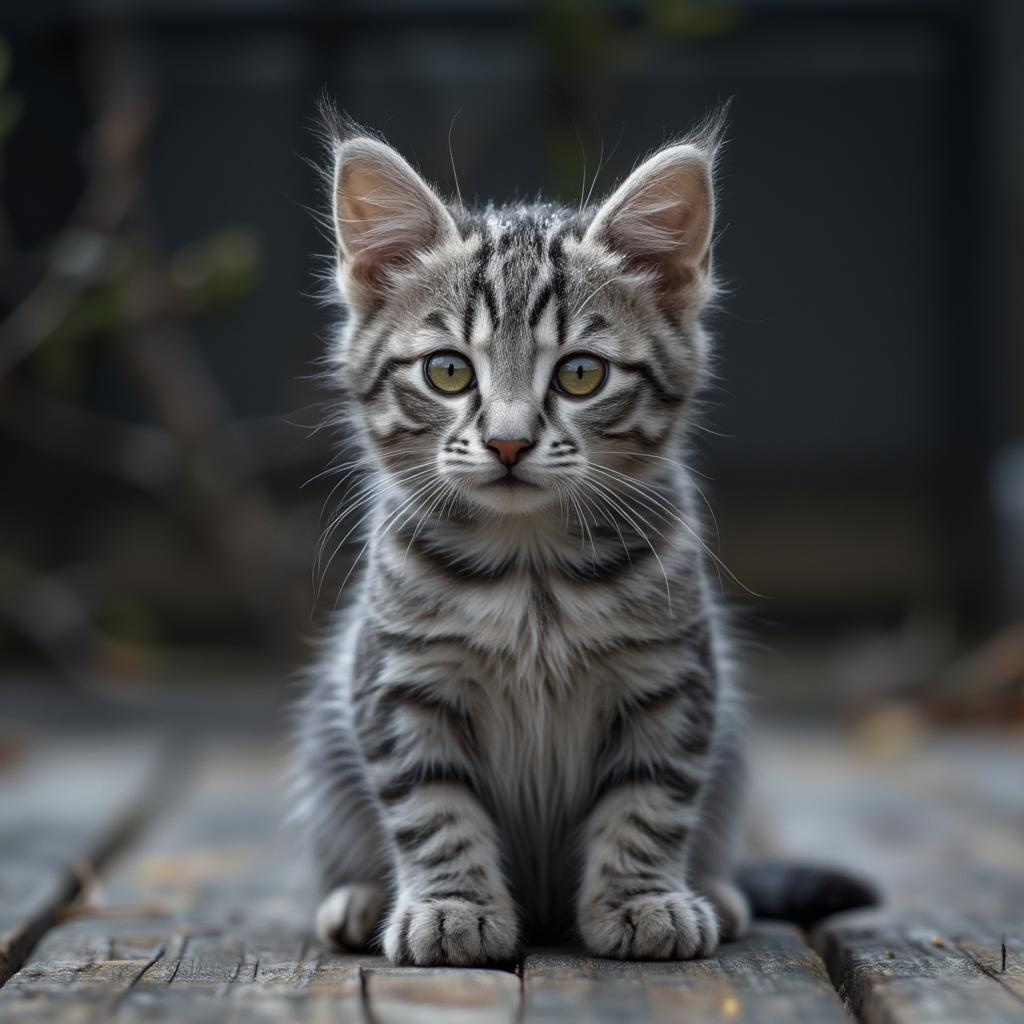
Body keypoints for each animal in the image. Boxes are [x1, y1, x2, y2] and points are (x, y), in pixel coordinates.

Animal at [296, 114, 872, 966]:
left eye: (579, 375)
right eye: (447, 372)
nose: (507, 442)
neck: (530, 570)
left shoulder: (672, 680)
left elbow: (650, 801)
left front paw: (642, 901)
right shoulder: (399, 682)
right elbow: (432, 808)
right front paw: (452, 907)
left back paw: (718, 891)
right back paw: (363, 898)